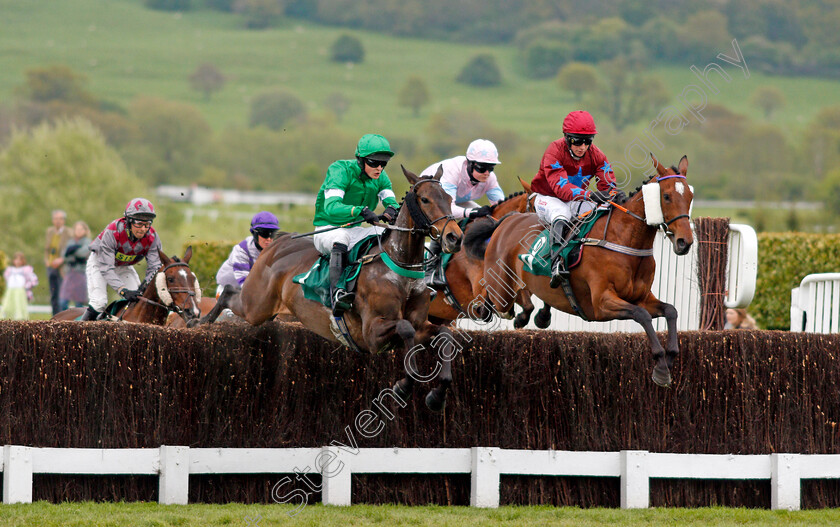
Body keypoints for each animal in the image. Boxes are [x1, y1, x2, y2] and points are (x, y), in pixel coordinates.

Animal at [202, 167, 466, 410]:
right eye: (425, 199)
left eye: (449, 198)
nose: (455, 238)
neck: (399, 266)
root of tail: (278, 243)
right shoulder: (371, 334)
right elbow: (405, 328)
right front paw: (404, 386)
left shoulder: (421, 324)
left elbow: (444, 334)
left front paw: (437, 395)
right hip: (256, 305)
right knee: (228, 292)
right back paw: (202, 321)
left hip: (264, 310)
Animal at [462, 155, 692, 386]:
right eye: (666, 196)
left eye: (690, 197)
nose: (685, 242)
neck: (624, 240)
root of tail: (506, 220)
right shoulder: (602, 303)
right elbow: (641, 315)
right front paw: (660, 366)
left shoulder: (642, 297)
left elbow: (671, 310)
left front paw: (669, 358)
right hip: (502, 290)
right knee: (497, 300)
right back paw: (489, 309)